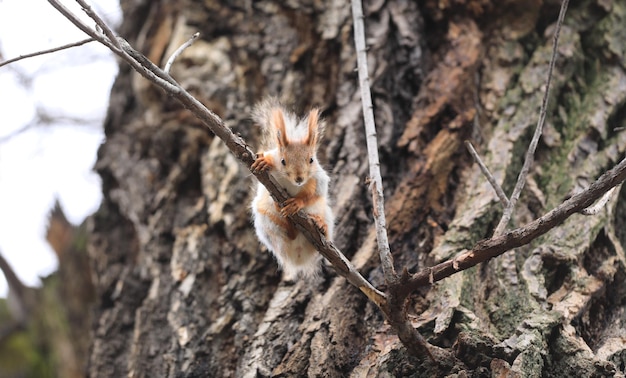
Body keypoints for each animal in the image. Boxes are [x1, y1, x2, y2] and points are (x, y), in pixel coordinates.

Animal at [250, 100, 334, 278]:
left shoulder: (318, 180)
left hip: (327, 213)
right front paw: (264, 162)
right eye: (283, 161)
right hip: (265, 222)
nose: (299, 179)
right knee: (289, 234)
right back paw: (287, 221)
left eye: (311, 159)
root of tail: (298, 258)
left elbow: (315, 194)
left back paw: (320, 225)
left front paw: (297, 203)